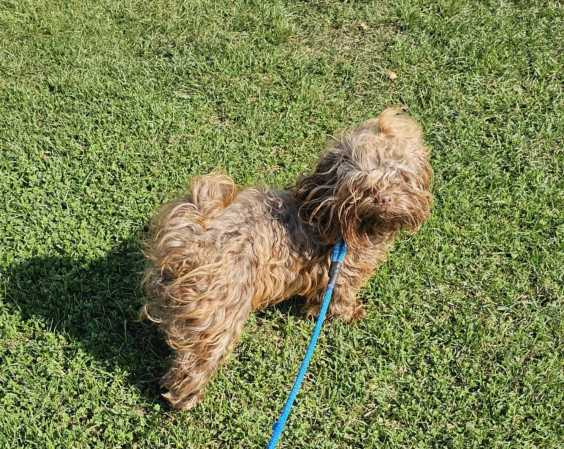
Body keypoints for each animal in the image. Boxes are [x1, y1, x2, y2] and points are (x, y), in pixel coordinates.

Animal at [141, 107, 432, 410]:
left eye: (398, 177)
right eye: (363, 186)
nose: (383, 200)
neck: (330, 213)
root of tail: (192, 234)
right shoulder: (341, 276)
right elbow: (338, 301)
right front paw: (350, 314)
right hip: (218, 314)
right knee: (195, 362)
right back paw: (185, 399)